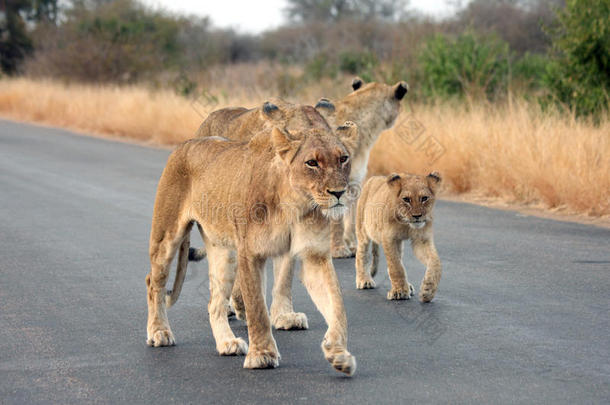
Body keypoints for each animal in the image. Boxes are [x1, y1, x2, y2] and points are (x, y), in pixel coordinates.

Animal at [146, 118, 356, 374]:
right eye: (312, 163)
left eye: (343, 158)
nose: (339, 192)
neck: (295, 205)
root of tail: (185, 143)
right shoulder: (251, 254)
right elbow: (257, 309)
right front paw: (262, 355)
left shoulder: (314, 255)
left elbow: (337, 305)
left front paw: (339, 353)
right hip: (167, 236)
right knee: (153, 282)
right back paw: (159, 332)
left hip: (225, 253)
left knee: (215, 303)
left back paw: (227, 343)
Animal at [352, 172, 442, 302]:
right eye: (406, 199)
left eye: (424, 198)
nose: (417, 216)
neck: (405, 223)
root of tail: (373, 178)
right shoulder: (389, 239)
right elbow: (396, 266)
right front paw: (399, 292)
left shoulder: (421, 240)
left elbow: (435, 262)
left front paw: (427, 290)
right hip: (363, 230)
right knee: (361, 254)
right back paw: (364, 280)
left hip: (398, 242)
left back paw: (408, 286)